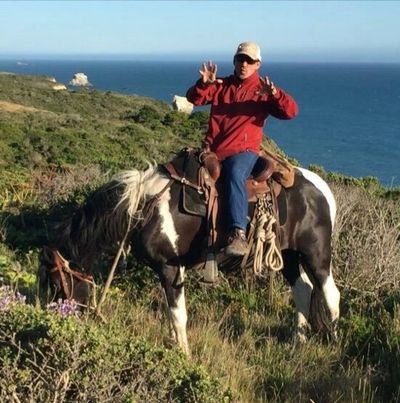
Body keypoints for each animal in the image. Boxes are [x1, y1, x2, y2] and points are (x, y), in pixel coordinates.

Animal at [38, 149, 340, 356]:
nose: (56, 320)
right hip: (288, 254)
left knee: (330, 294)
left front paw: (183, 355)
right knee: (303, 290)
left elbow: (178, 315)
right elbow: (171, 314)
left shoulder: (171, 268)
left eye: (55, 283)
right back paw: (298, 341)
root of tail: (321, 188)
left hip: (316, 252)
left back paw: (335, 341)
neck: (143, 207)